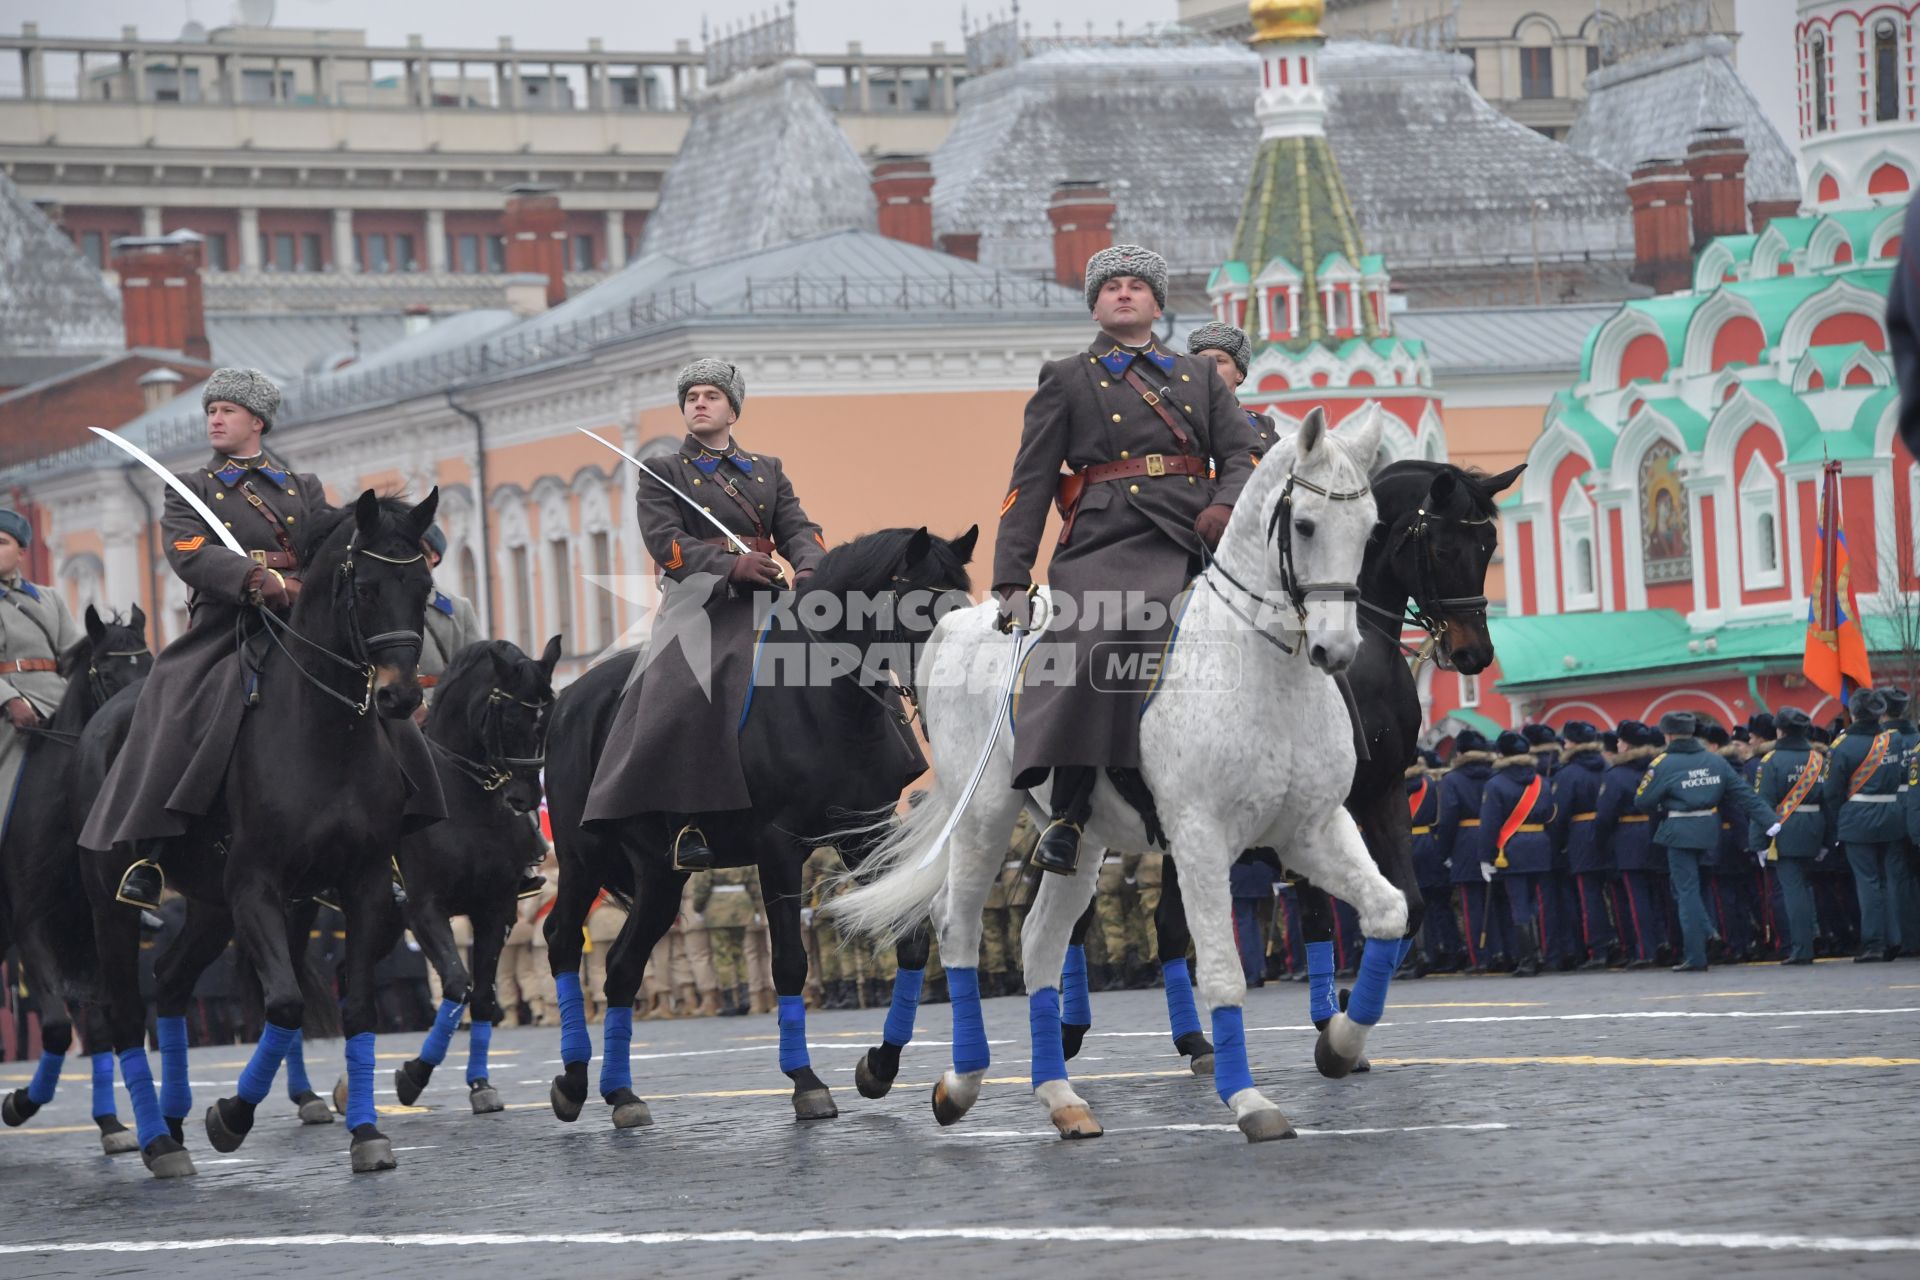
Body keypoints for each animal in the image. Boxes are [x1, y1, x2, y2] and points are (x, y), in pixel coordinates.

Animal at [541, 525, 975, 1128]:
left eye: (966, 605)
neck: (826, 703)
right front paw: (807, 1082)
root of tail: (567, 701)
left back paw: (620, 1093)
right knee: (562, 939)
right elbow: (789, 962)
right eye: (921, 608)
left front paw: (878, 1067)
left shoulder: (863, 838)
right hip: (583, 859)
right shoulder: (779, 848)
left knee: (622, 966)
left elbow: (911, 942)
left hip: (659, 874)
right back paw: (574, 1079)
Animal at [829, 402, 1413, 1143]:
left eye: (1369, 529)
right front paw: (1248, 1100)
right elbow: (1222, 972)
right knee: (957, 926)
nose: (1337, 650)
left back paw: (1061, 1096)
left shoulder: (1312, 830)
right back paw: (962, 1082)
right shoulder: (1199, 838)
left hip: (1083, 842)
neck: (1260, 670)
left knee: (1040, 942)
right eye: (1305, 525)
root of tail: (960, 624)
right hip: (985, 815)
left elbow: (1389, 911)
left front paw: (1338, 1044)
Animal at [1059, 462, 1520, 1082]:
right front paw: (1336, 1019)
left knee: (1168, 929)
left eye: (1489, 546)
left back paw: (1194, 1041)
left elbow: (1408, 904)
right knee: (1077, 921)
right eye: (1444, 547)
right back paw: (1067, 1030)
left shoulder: (1382, 795)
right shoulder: (1310, 815)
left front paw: (1345, 1014)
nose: (1475, 655)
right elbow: (1321, 918)